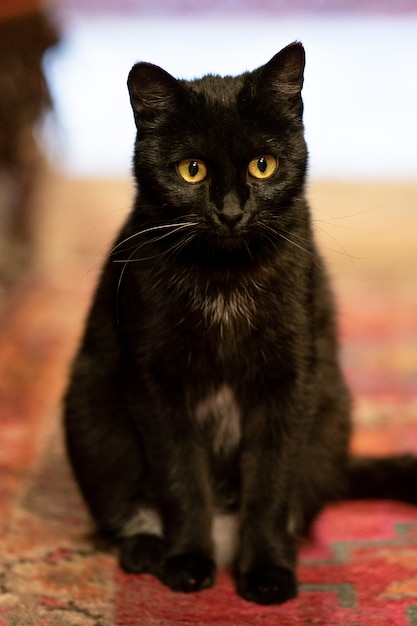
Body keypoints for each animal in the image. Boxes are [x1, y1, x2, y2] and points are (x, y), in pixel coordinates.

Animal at [62, 41, 416, 604]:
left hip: (334, 408)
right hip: (90, 403)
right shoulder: (155, 378)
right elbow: (181, 477)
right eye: (192, 170)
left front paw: (268, 572)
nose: (230, 211)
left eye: (262, 165)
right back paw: (146, 551)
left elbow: (270, 483)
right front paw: (187, 562)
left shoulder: (291, 377)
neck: (224, 279)